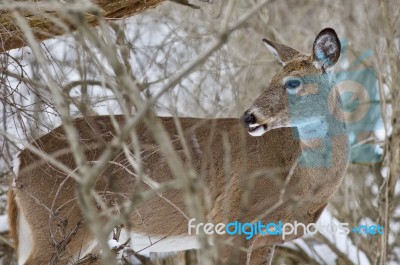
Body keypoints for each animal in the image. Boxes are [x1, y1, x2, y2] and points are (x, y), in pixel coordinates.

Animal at [7, 27, 348, 262]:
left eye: (293, 82)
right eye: (270, 80)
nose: (249, 117)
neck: (300, 182)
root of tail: (19, 160)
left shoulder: (268, 239)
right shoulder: (230, 219)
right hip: (61, 225)